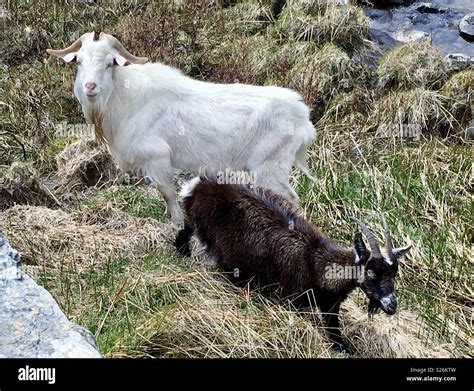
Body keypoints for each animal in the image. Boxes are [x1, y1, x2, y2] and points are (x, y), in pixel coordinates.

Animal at [48, 33, 316, 224]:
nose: (90, 87)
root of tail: (301, 115)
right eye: (79, 62)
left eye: (108, 64)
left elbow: (167, 193)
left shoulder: (157, 158)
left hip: (271, 166)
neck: (128, 100)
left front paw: (177, 223)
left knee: (291, 198)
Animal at [174, 178, 412, 352]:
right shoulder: (292, 299)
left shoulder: (330, 307)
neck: (316, 262)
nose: (392, 305)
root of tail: (198, 186)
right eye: (371, 272)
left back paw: (181, 252)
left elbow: (337, 337)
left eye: (394, 272)